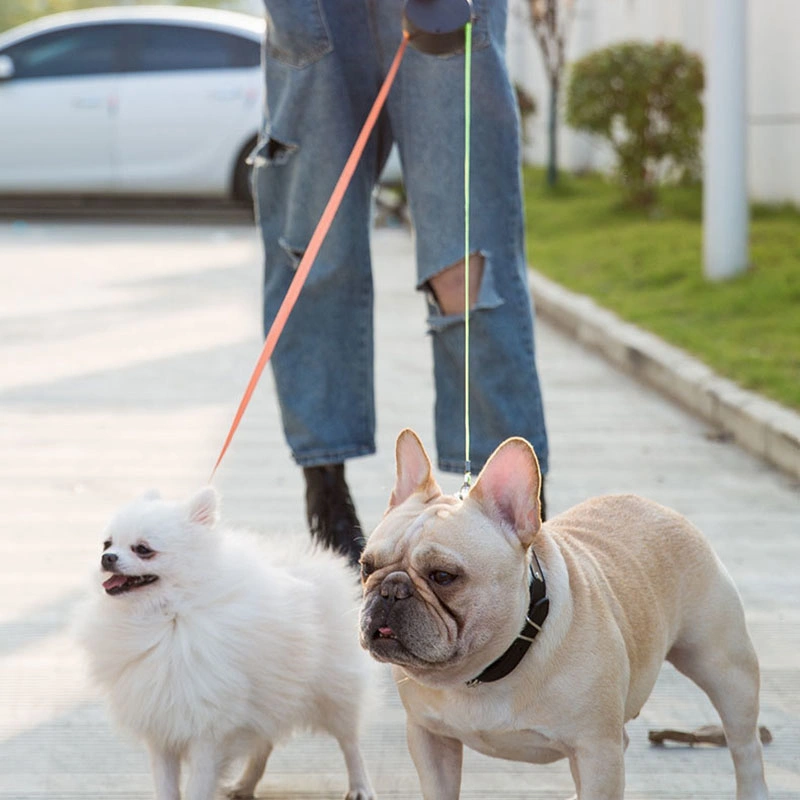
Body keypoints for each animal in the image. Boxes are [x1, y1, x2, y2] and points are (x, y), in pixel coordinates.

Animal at [75, 488, 376, 800]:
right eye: (107, 543)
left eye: (143, 549)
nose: (107, 557)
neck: (168, 616)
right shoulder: (161, 727)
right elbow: (166, 786)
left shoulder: (208, 730)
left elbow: (197, 787)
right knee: (264, 743)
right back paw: (245, 785)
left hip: (334, 690)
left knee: (349, 741)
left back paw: (360, 786)